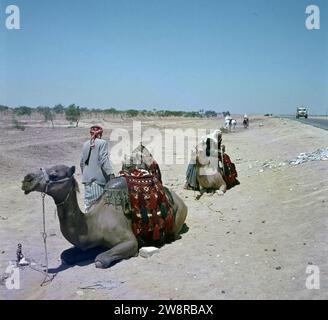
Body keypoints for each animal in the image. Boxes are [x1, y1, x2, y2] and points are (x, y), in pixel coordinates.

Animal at [21, 164, 187, 268]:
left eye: (54, 174)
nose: (27, 179)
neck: (94, 224)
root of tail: (178, 198)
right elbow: (66, 255)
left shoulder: (129, 241)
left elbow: (100, 260)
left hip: (179, 216)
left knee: (174, 233)